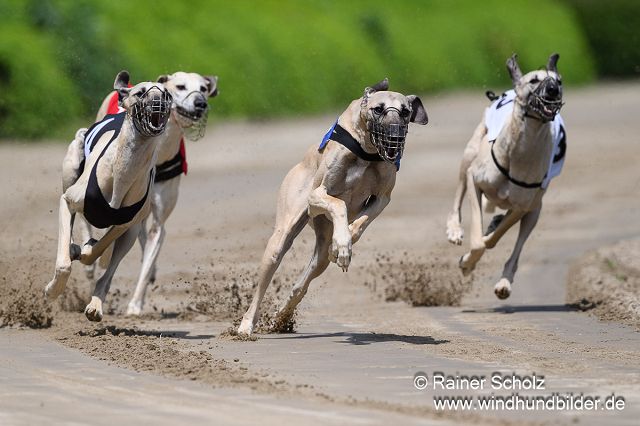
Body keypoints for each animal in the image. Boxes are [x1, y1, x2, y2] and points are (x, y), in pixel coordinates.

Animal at [44, 71, 172, 322]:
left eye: (167, 94)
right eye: (140, 92)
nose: (159, 104)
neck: (123, 173)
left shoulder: (126, 226)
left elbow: (100, 250)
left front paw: (88, 252)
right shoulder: (68, 201)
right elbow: (65, 262)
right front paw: (53, 290)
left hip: (131, 233)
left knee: (109, 265)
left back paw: (95, 302)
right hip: (71, 167)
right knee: (78, 225)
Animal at [91, 71, 219, 314]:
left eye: (203, 88)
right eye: (180, 86)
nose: (200, 103)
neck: (157, 152)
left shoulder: (159, 222)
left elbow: (149, 254)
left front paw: (135, 304)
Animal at [238, 78, 428, 334]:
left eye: (405, 111)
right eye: (378, 109)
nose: (395, 138)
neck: (366, 150)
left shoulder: (382, 198)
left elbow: (361, 222)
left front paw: (343, 243)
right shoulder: (316, 196)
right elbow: (339, 204)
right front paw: (343, 244)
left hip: (320, 258)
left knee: (302, 283)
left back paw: (282, 315)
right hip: (280, 239)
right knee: (266, 277)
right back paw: (246, 325)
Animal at [444, 54, 564, 300]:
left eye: (559, 80)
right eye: (534, 80)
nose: (553, 90)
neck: (519, 153)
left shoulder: (522, 206)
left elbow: (491, 239)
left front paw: (471, 258)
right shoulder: (475, 180)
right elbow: (478, 241)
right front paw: (467, 262)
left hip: (535, 211)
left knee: (517, 244)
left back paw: (504, 283)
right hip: (469, 153)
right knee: (458, 195)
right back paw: (454, 229)